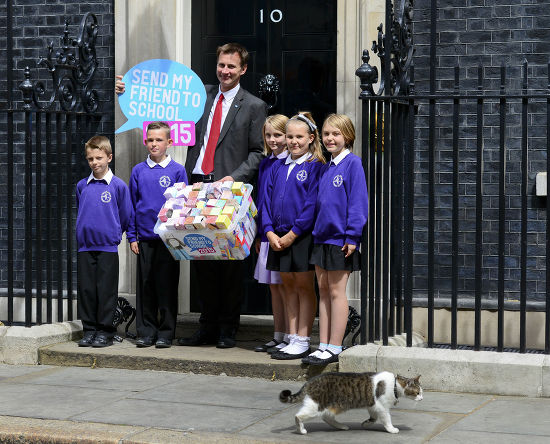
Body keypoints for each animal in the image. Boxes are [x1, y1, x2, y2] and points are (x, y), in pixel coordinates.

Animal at [280, 370, 422, 436]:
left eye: (421, 392)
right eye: (417, 393)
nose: (421, 399)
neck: (394, 385)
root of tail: (311, 381)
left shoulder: (373, 405)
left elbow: (373, 417)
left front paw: (366, 423)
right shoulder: (382, 407)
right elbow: (387, 419)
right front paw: (391, 429)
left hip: (332, 406)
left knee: (327, 417)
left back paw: (341, 426)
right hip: (316, 406)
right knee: (298, 416)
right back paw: (301, 430)